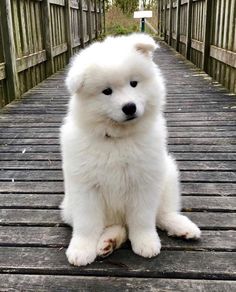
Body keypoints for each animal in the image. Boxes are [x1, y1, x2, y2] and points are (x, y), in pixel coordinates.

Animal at [60, 33, 200, 266]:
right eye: (107, 91)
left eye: (134, 83)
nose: (129, 107)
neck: (118, 139)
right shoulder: (85, 188)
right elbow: (87, 223)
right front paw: (81, 249)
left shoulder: (144, 182)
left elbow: (143, 219)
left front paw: (146, 243)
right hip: (71, 207)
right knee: (117, 226)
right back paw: (107, 242)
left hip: (168, 174)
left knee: (161, 213)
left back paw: (182, 227)